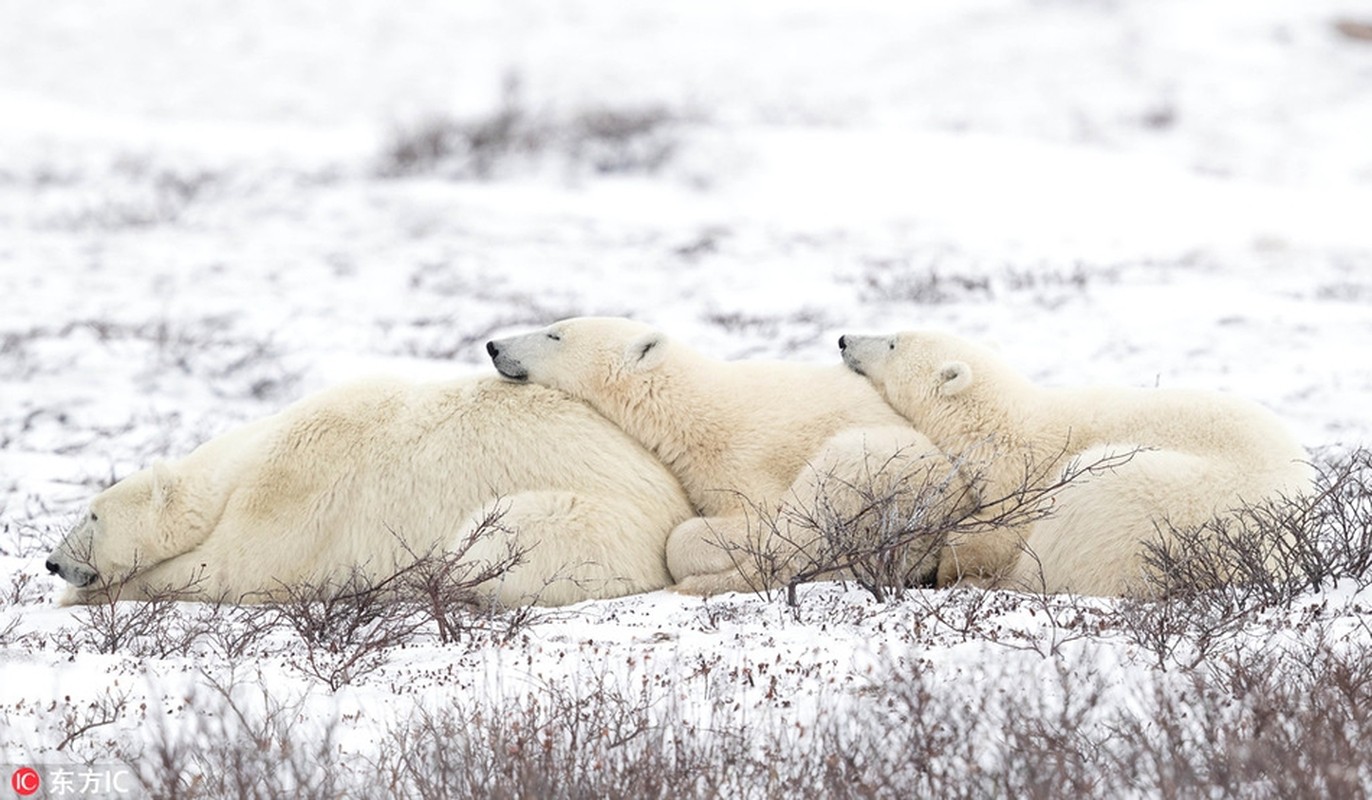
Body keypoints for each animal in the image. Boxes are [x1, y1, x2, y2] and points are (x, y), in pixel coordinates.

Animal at [46, 375, 691, 606]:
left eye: (92, 515)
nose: (53, 562)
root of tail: (676, 506)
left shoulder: (296, 488)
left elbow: (232, 569)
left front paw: (80, 597)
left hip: (588, 519)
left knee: (495, 543)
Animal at [488, 318, 971, 595]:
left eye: (555, 333)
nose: (494, 346)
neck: (698, 413)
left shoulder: (748, 458)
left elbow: (757, 526)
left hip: (887, 470)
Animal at [839, 329, 1311, 598]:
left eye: (893, 342)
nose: (843, 340)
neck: (1000, 425)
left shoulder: (1021, 475)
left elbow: (994, 533)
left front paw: (954, 566)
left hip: (1147, 501)